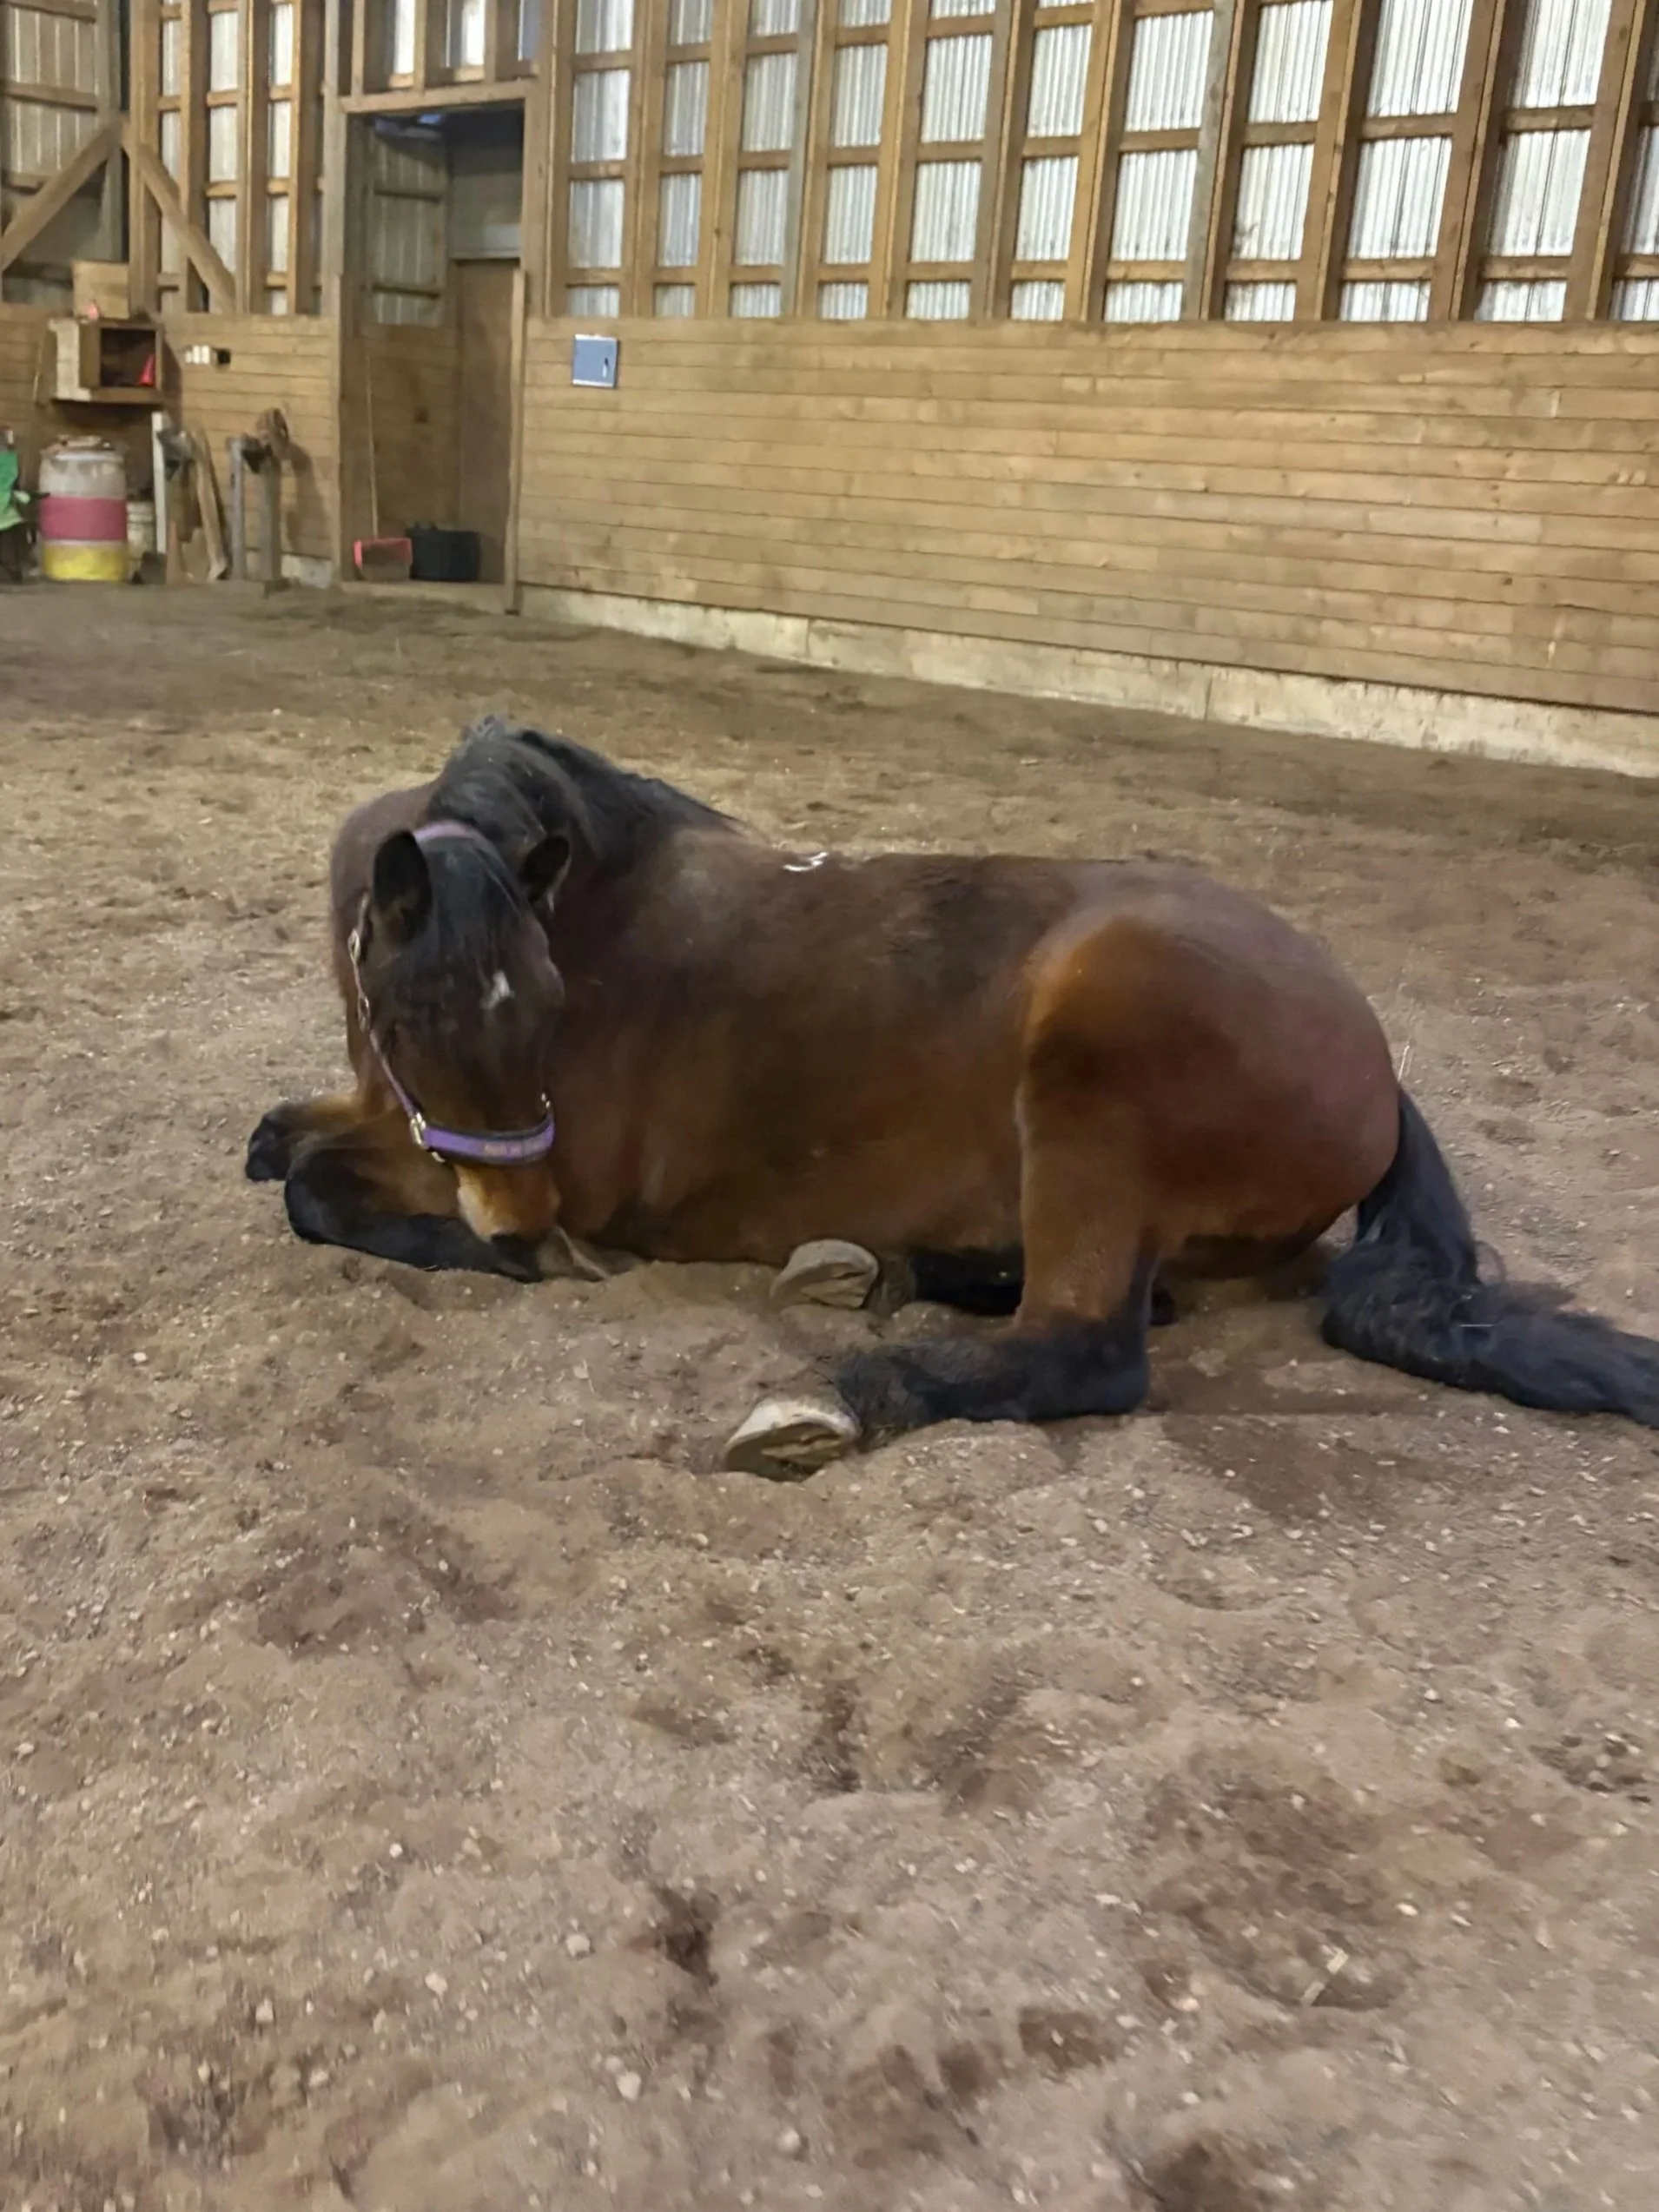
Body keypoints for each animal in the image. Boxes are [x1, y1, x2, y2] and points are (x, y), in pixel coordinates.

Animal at [247, 715, 1659, 1476]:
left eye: (544, 1008)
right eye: (419, 1018)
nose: (523, 1230)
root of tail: (1374, 1059)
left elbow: (316, 1191)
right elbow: (282, 1141)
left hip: (1095, 1074)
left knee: (1088, 1347)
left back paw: (831, 1396)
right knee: (1125, 1298)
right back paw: (867, 1269)